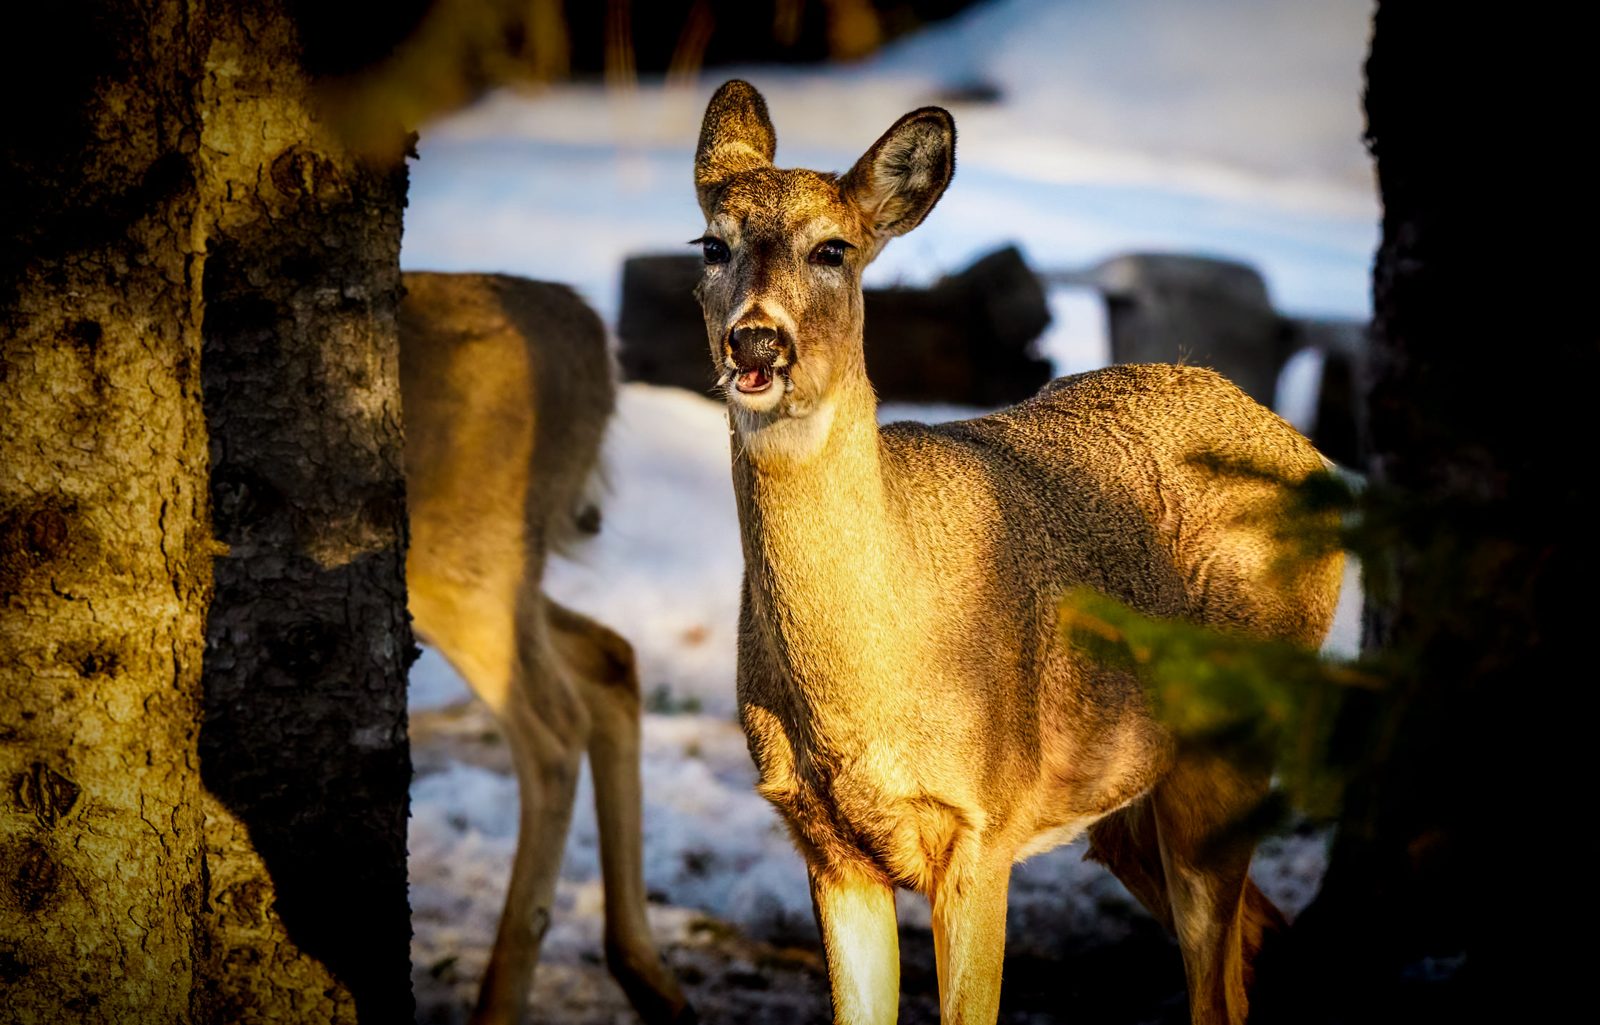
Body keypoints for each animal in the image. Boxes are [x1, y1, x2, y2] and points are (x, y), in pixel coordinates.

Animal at [690, 80, 1344, 1025]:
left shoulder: (984, 828)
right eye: (712, 244)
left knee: (1219, 984)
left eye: (833, 249)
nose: (756, 341)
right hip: (1126, 800)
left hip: (1230, 746)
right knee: (1251, 945)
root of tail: (1308, 454)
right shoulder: (826, 844)